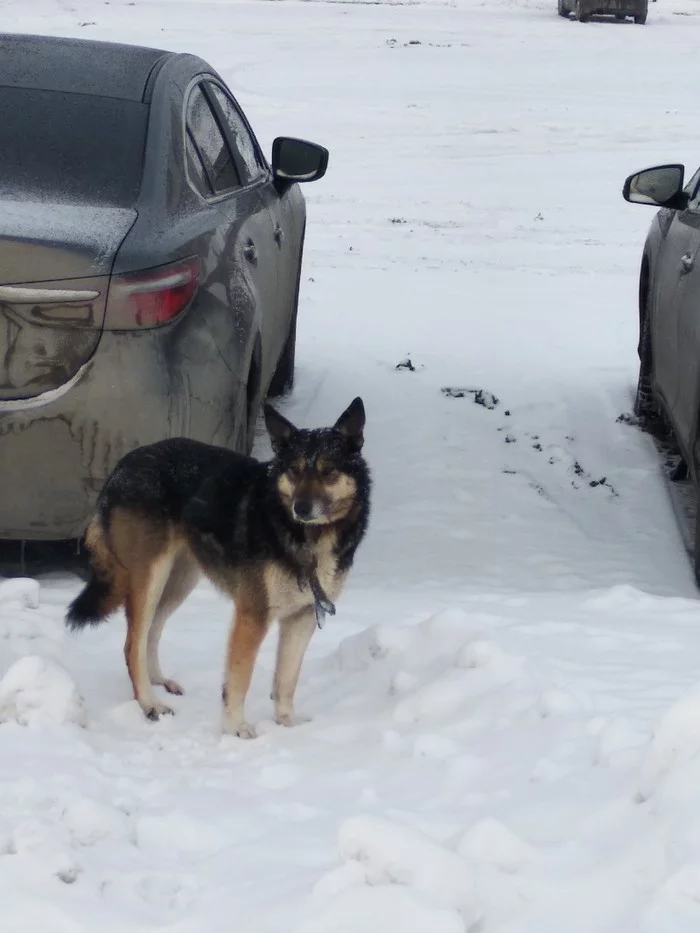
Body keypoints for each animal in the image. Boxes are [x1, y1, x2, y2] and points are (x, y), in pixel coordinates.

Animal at [66, 396, 372, 740]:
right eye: (294, 471)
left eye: (328, 472)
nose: (301, 508)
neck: (305, 536)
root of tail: (120, 468)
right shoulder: (253, 614)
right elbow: (239, 679)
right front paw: (236, 728)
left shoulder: (302, 616)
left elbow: (286, 680)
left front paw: (286, 724)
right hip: (150, 576)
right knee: (133, 644)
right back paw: (149, 703)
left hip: (179, 579)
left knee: (151, 632)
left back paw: (159, 681)